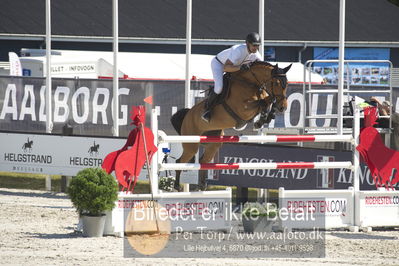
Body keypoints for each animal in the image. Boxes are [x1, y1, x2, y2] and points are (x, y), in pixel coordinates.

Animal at [170, 61, 292, 190]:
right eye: (277, 83)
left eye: (287, 84)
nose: (283, 107)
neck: (251, 83)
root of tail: (187, 115)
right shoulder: (244, 109)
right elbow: (263, 102)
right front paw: (262, 119)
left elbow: (268, 100)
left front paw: (266, 117)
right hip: (191, 144)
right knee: (179, 162)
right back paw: (177, 186)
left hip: (213, 144)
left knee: (203, 161)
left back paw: (202, 186)